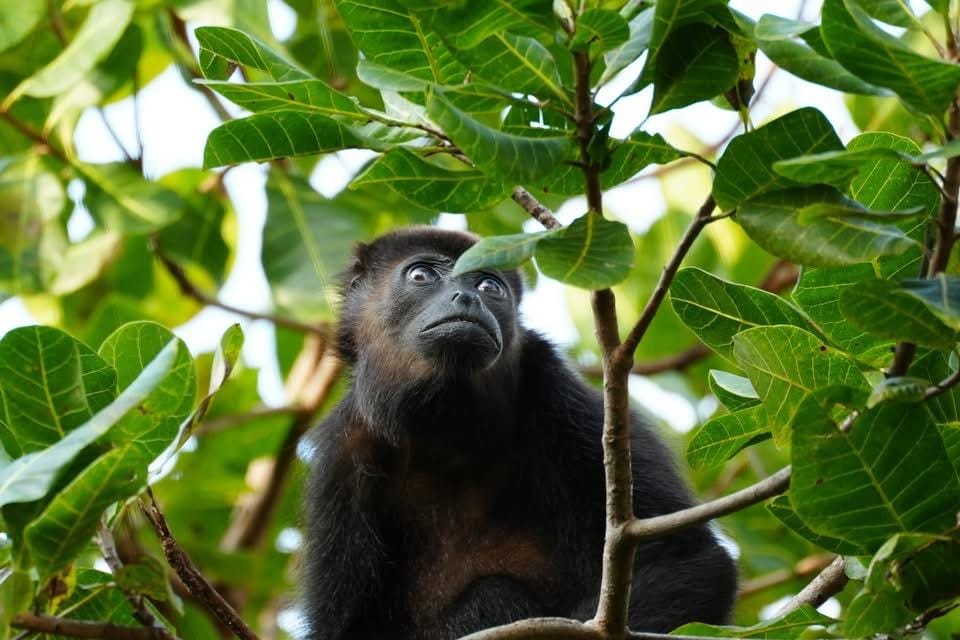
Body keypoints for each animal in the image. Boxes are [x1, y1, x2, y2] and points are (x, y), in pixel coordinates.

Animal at [301, 226, 737, 640]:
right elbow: (352, 627)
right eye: (421, 274)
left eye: (488, 286)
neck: (446, 432)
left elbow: (687, 557)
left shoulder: (551, 385)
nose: (467, 298)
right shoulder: (346, 450)